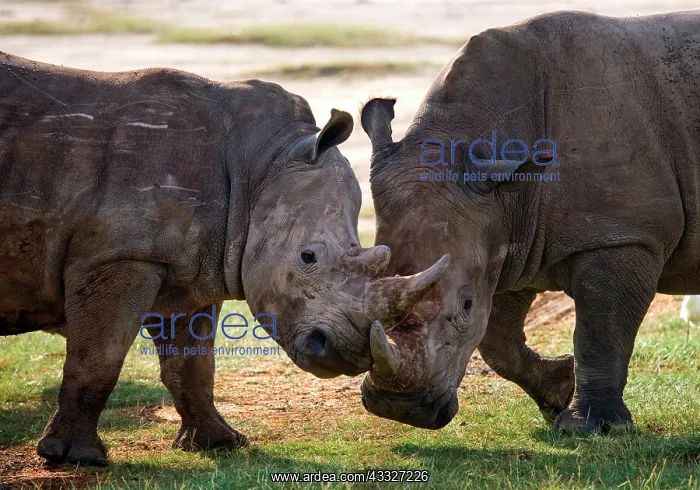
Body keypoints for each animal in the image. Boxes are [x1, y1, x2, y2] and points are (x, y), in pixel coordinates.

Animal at [0, 52, 446, 466]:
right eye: (308, 257)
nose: (345, 354)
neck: (260, 165)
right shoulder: (119, 256)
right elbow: (98, 357)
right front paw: (76, 457)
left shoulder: (188, 267)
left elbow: (192, 366)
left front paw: (220, 444)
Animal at [358, 10, 700, 433]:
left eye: (465, 305)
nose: (398, 408)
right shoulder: (504, 230)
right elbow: (497, 341)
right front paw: (557, 394)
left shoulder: (624, 235)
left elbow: (600, 332)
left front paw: (590, 429)